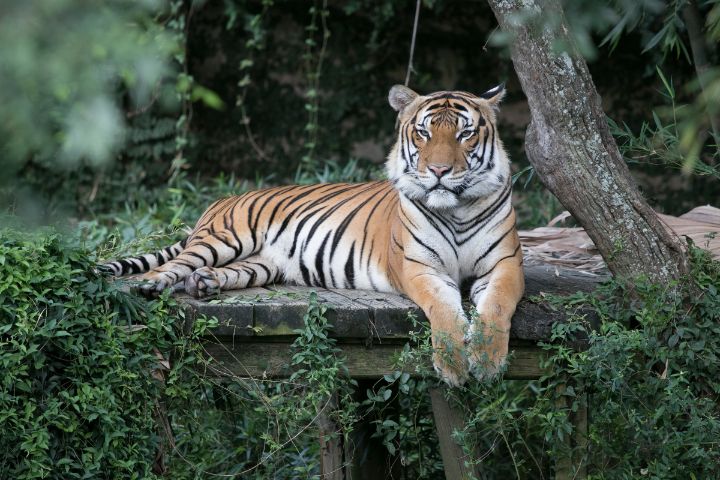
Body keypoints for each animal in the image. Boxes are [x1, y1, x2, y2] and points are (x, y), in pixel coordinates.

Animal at [103, 84, 524, 386]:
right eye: (423, 133)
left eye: (465, 134)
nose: (438, 171)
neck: (455, 210)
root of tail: (223, 199)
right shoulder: (420, 268)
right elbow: (444, 310)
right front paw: (454, 368)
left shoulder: (505, 265)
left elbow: (496, 307)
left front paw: (487, 363)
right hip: (225, 238)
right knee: (172, 264)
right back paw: (149, 286)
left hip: (261, 264)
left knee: (218, 272)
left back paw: (203, 284)